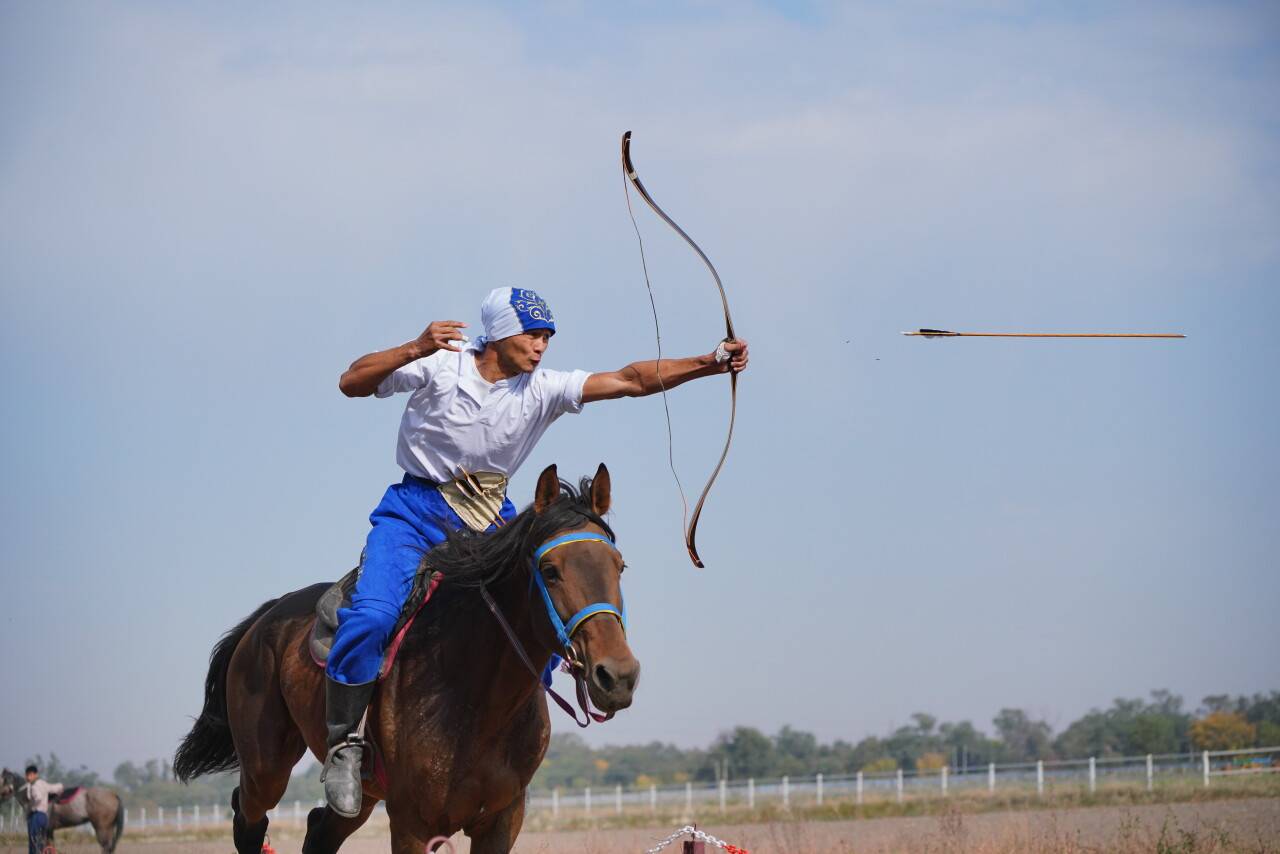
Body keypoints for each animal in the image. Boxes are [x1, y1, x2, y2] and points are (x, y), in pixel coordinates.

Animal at [172, 463, 640, 850]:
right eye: (550, 571)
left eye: (619, 565)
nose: (617, 676)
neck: (474, 699)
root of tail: (265, 618)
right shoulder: (413, 824)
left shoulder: (502, 821)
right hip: (265, 769)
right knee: (248, 817)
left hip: (358, 798)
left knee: (319, 830)